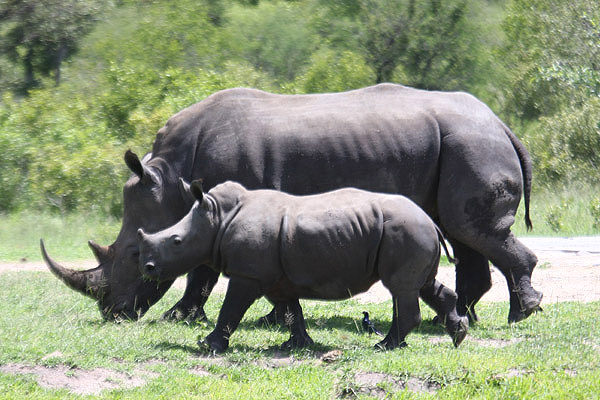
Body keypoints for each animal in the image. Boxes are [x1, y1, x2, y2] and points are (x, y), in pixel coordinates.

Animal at [137, 180, 468, 352]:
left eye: (176, 241)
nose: (148, 268)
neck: (217, 217)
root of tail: (430, 221)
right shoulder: (274, 278)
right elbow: (290, 312)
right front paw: (298, 345)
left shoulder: (248, 273)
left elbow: (231, 309)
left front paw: (208, 345)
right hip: (413, 232)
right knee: (421, 285)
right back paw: (458, 335)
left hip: (406, 231)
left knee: (401, 287)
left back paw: (385, 346)